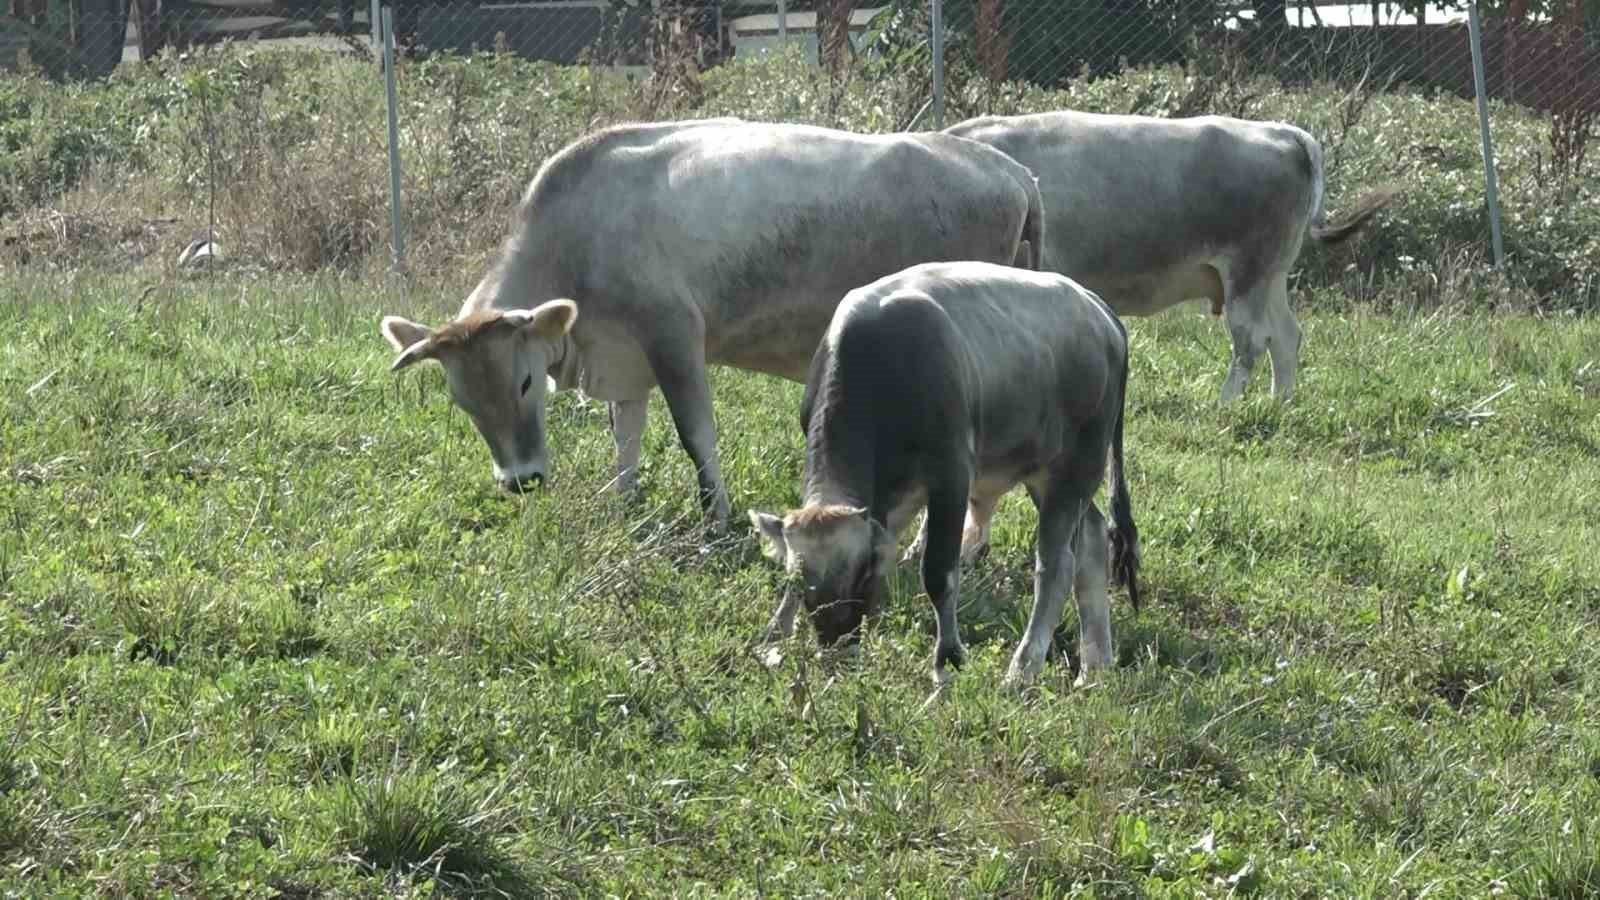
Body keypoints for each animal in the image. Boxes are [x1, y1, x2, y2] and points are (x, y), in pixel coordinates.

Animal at [379, 117, 1043, 525]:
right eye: (463, 400)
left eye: (523, 382)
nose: (521, 479)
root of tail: (1008, 171)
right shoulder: (624, 355)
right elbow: (626, 432)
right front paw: (622, 497)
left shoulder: (674, 333)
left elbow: (695, 433)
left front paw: (714, 517)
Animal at [748, 261, 1139, 685]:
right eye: (801, 582)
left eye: (860, 574)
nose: (837, 647)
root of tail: (1099, 309)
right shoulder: (894, 496)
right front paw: (772, 638)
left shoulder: (951, 475)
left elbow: (938, 571)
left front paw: (946, 661)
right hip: (1048, 476)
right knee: (1092, 540)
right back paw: (1095, 664)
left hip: (1074, 469)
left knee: (1057, 567)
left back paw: (1022, 670)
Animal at [940, 111, 1395, 403]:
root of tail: (1281, 131)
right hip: (1271, 277)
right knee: (1286, 337)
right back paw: (1279, 405)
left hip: (1247, 273)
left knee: (1252, 341)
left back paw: (1225, 405)